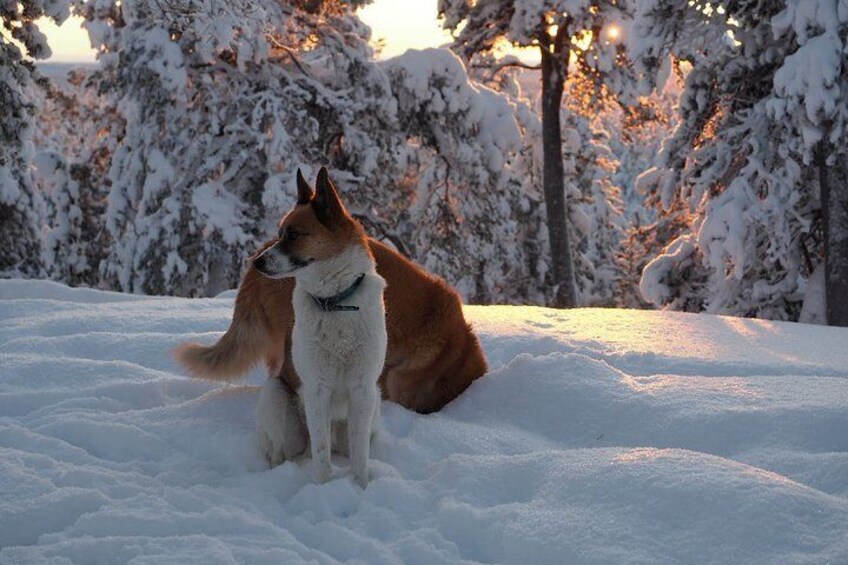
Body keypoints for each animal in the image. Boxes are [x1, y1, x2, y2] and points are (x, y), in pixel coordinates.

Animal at [174, 166, 484, 472]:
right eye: (283, 232)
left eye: (294, 234)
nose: (258, 262)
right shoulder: (326, 388)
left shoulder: (365, 388)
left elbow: (360, 459)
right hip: (283, 402)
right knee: (284, 446)